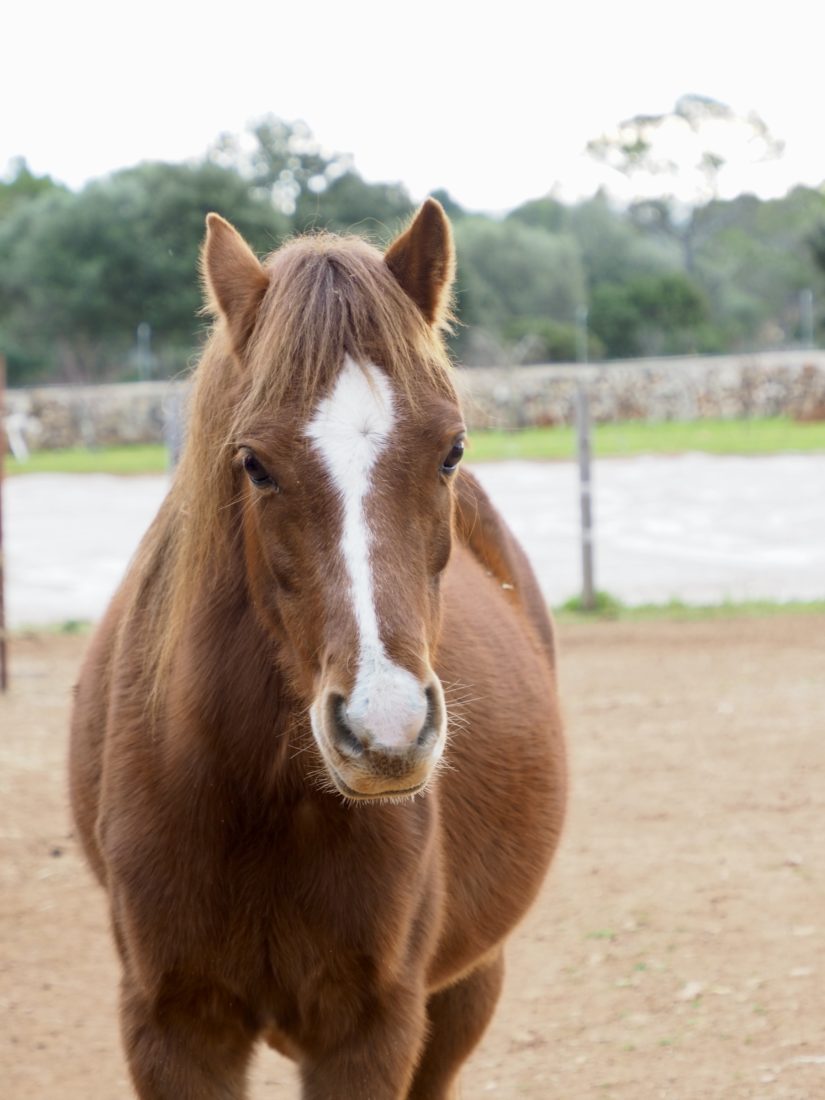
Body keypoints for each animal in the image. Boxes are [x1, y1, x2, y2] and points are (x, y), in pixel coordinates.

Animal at [70, 200, 567, 1100]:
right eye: (254, 463)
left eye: (451, 450)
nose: (385, 733)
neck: (254, 794)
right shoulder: (171, 1031)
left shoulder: (368, 1032)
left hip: (464, 991)